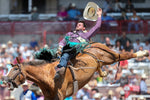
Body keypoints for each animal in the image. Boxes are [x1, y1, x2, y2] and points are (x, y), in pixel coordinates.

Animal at [2, 42, 149, 99]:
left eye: (15, 69)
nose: (4, 80)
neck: (48, 75)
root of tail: (93, 45)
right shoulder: (49, 97)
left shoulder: (60, 95)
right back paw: (103, 72)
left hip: (110, 56)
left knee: (124, 55)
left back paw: (143, 53)